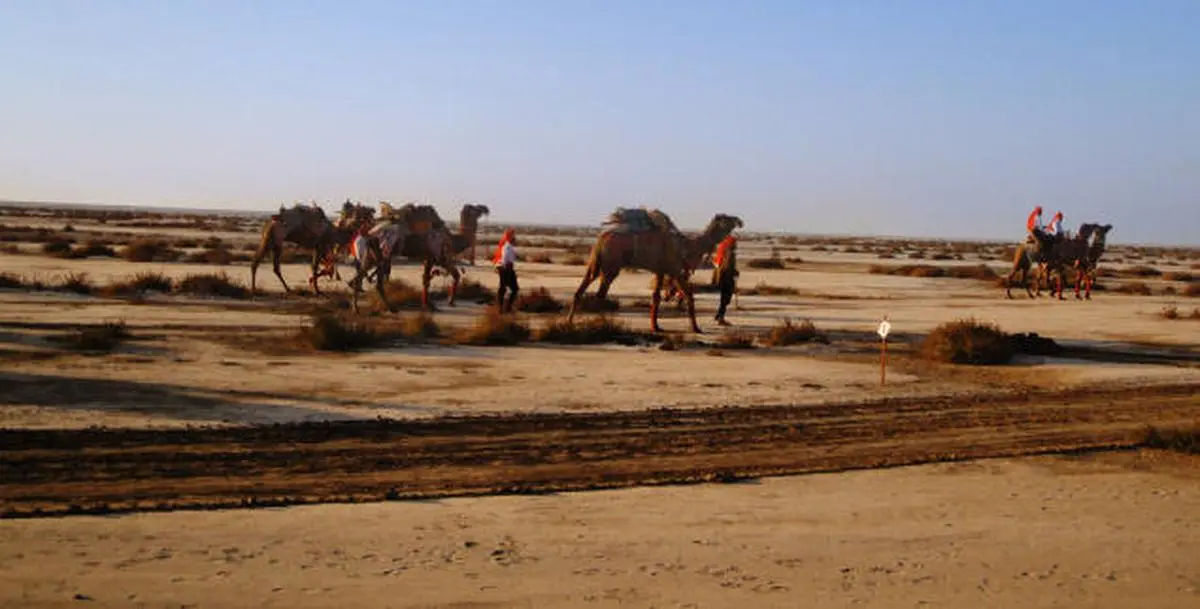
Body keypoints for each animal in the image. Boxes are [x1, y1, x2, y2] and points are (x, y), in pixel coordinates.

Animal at [561, 209, 739, 333]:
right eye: (726, 218)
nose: (739, 220)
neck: (686, 246)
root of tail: (602, 237)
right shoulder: (674, 269)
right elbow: (689, 295)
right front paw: (696, 328)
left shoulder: (660, 270)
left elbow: (656, 297)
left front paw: (656, 327)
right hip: (611, 265)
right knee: (600, 293)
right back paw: (601, 323)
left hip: (597, 262)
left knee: (583, 288)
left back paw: (569, 322)